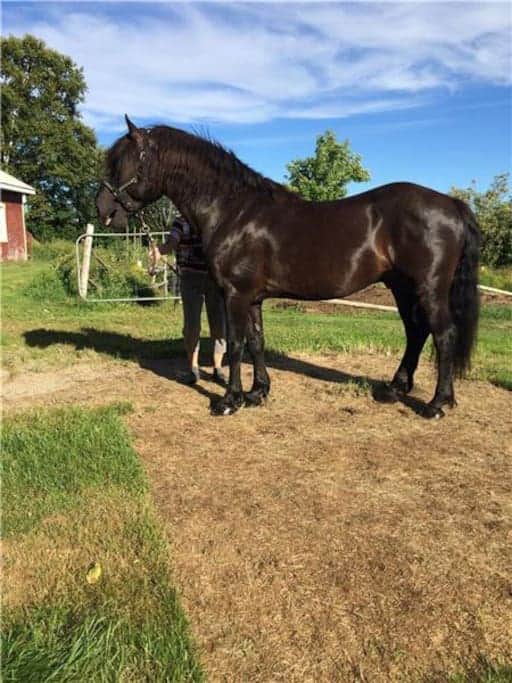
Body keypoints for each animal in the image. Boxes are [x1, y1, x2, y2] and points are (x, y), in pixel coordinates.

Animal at [96, 115, 480, 419]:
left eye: (122, 163)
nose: (103, 211)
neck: (233, 210)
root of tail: (453, 204)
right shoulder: (251, 297)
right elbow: (256, 341)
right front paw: (257, 392)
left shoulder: (234, 295)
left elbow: (235, 343)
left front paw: (229, 400)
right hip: (401, 287)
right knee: (416, 332)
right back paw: (394, 389)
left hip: (428, 288)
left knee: (443, 335)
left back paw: (437, 404)